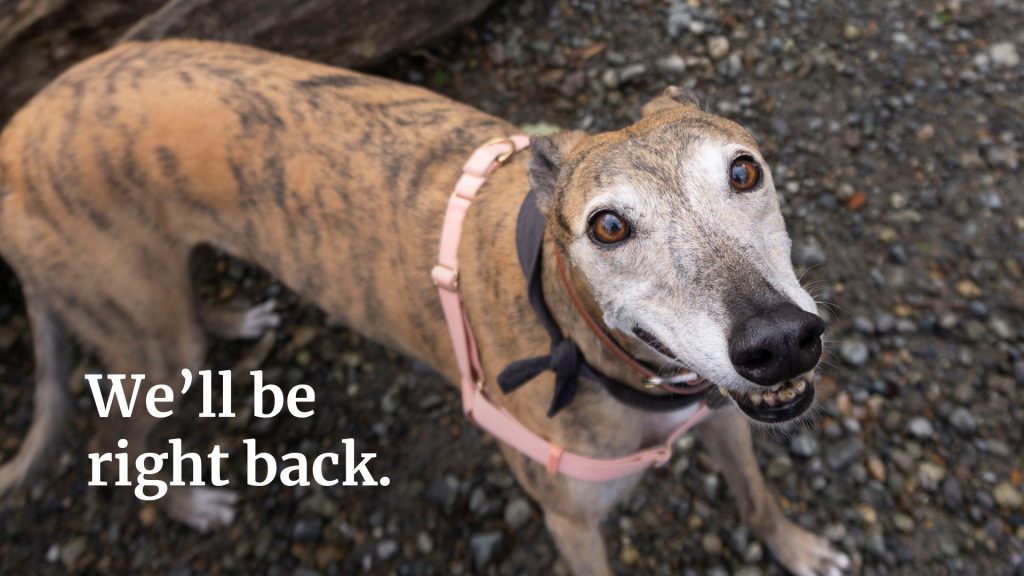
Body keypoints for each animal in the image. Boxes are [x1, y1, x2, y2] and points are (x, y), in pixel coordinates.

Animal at [0, 41, 847, 573]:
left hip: (161, 303)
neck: (580, 336)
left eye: (744, 171)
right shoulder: (570, 519)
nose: (781, 341)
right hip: (146, 344)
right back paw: (188, 504)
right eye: (608, 226)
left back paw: (234, 320)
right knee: (115, 438)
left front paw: (800, 548)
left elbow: (757, 497)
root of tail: (17, 127)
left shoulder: (723, 412)